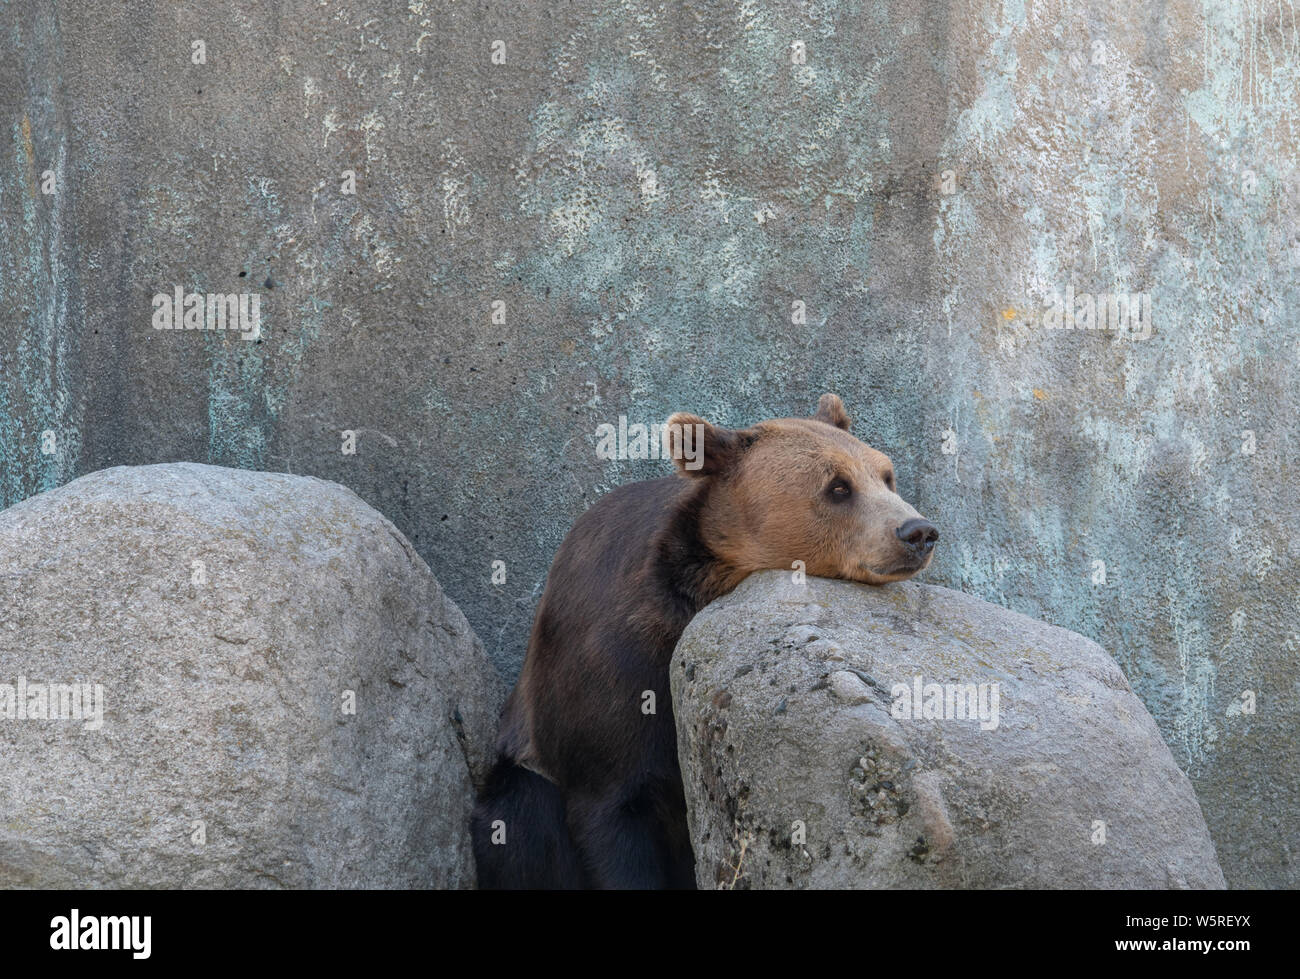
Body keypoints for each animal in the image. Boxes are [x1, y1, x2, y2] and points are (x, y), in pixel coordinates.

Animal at [470, 394, 938, 889]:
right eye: (837, 487)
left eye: (885, 475)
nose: (918, 531)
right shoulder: (611, 673)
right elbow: (611, 805)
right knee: (523, 818)